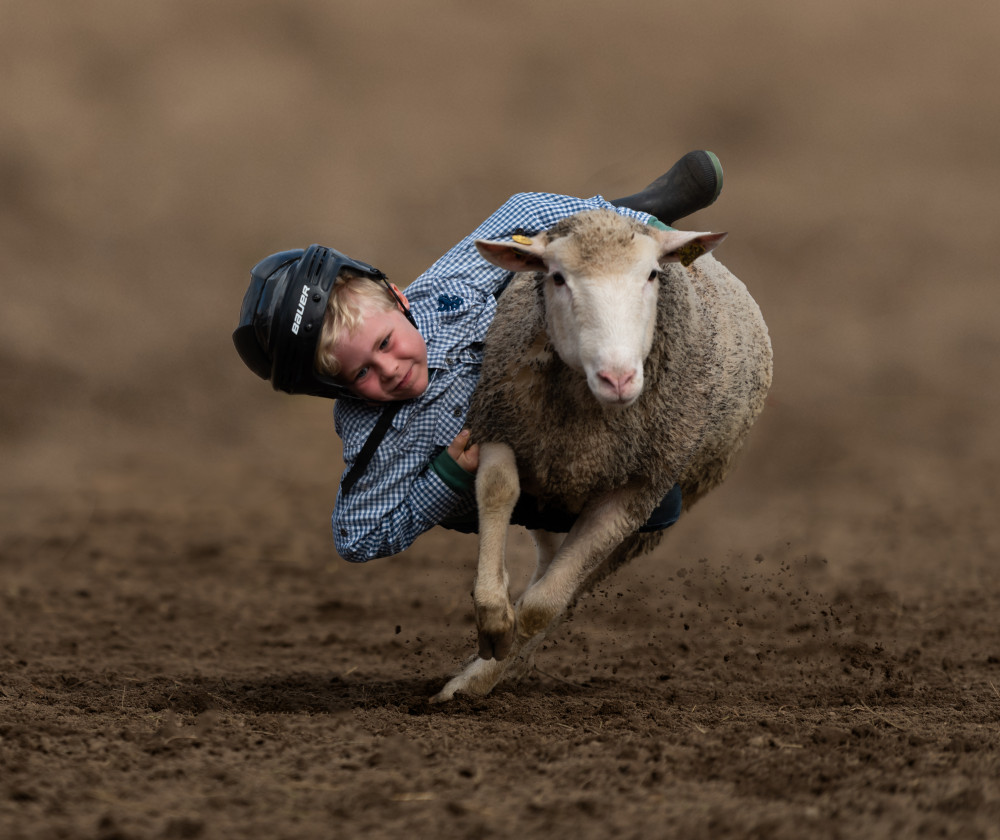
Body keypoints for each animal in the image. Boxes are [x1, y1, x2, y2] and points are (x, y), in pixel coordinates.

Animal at [432, 210, 772, 704]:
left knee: (574, 582)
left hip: (653, 516)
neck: (586, 426)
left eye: (652, 274)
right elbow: (498, 490)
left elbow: (543, 607)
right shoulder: (500, 424)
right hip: (551, 486)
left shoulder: (637, 491)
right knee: (548, 554)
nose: (618, 378)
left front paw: (494, 658)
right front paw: (494, 624)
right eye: (556, 277)